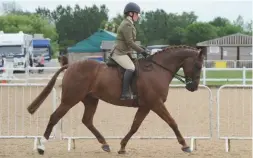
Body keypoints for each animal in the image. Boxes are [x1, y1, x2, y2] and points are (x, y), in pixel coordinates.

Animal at [27, 45, 206, 155]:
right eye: (198, 66)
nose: (193, 87)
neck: (158, 69)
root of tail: (70, 66)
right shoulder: (156, 104)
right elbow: (172, 122)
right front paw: (185, 145)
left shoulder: (146, 106)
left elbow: (135, 126)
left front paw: (122, 147)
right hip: (70, 100)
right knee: (55, 117)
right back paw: (41, 147)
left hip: (91, 100)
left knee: (87, 121)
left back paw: (105, 144)